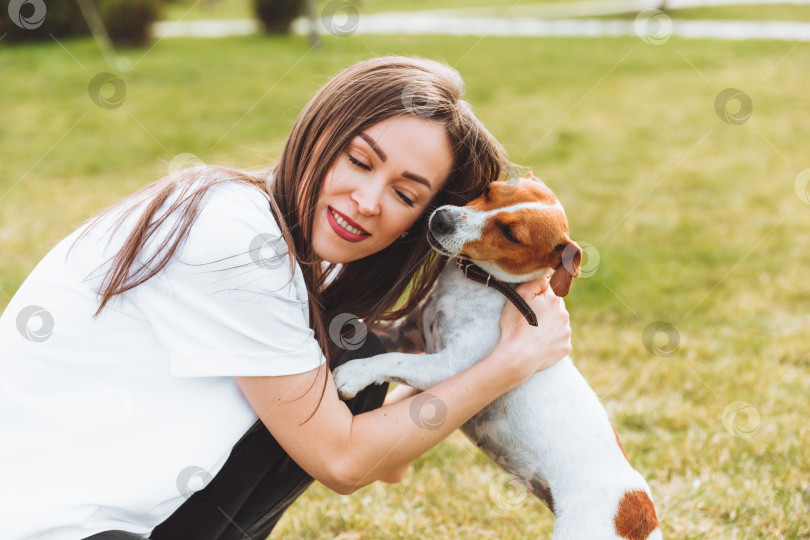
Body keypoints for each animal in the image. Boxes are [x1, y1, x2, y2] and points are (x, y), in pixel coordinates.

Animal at [332, 173, 660, 540]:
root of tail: (640, 515)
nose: (441, 218)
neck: (478, 284)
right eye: (489, 190)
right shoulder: (411, 333)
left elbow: (392, 361)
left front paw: (353, 373)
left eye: (511, 234)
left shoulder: (450, 365)